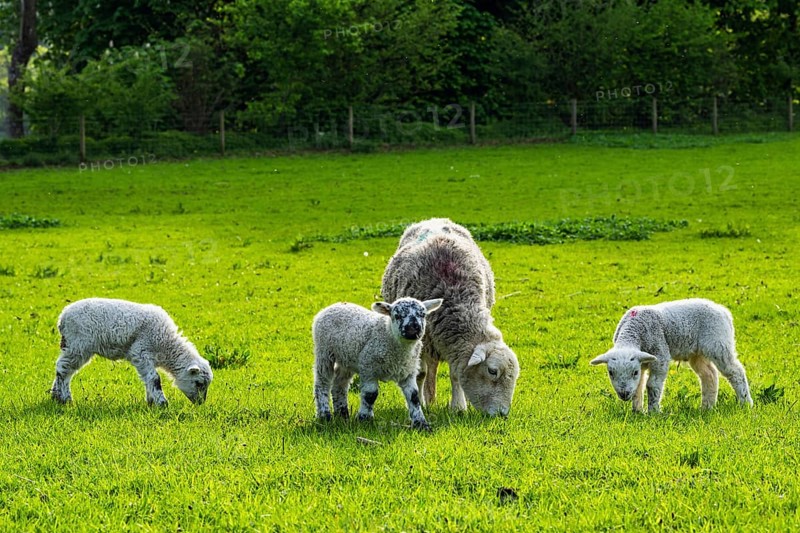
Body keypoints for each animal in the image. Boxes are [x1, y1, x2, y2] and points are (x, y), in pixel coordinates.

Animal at [51, 298, 213, 406]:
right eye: (199, 383)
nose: (200, 403)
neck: (166, 345)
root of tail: (62, 318)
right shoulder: (140, 352)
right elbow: (155, 378)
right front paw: (162, 403)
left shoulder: (147, 358)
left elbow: (148, 378)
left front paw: (151, 402)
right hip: (78, 345)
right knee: (63, 369)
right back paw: (65, 399)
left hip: (72, 346)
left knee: (65, 370)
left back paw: (55, 395)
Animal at [313, 297, 442, 431]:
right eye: (397, 316)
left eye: (423, 315)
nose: (412, 330)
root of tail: (334, 305)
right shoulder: (368, 367)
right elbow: (371, 395)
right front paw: (364, 420)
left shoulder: (408, 371)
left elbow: (414, 396)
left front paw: (421, 424)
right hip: (324, 351)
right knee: (322, 384)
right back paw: (325, 416)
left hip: (346, 359)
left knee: (339, 385)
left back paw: (342, 415)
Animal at [382, 218, 520, 417]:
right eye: (492, 371)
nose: (502, 414)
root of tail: (433, 219)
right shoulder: (423, 339)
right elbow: (420, 373)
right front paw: (420, 403)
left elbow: (455, 374)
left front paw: (458, 407)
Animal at [590, 298, 753, 413]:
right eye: (611, 373)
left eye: (634, 372)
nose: (624, 394)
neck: (634, 329)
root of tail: (724, 311)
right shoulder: (642, 359)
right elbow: (638, 387)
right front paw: (637, 411)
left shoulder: (660, 354)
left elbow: (652, 385)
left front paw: (653, 411)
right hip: (697, 353)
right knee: (709, 374)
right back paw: (707, 407)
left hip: (718, 343)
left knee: (735, 371)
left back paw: (745, 403)